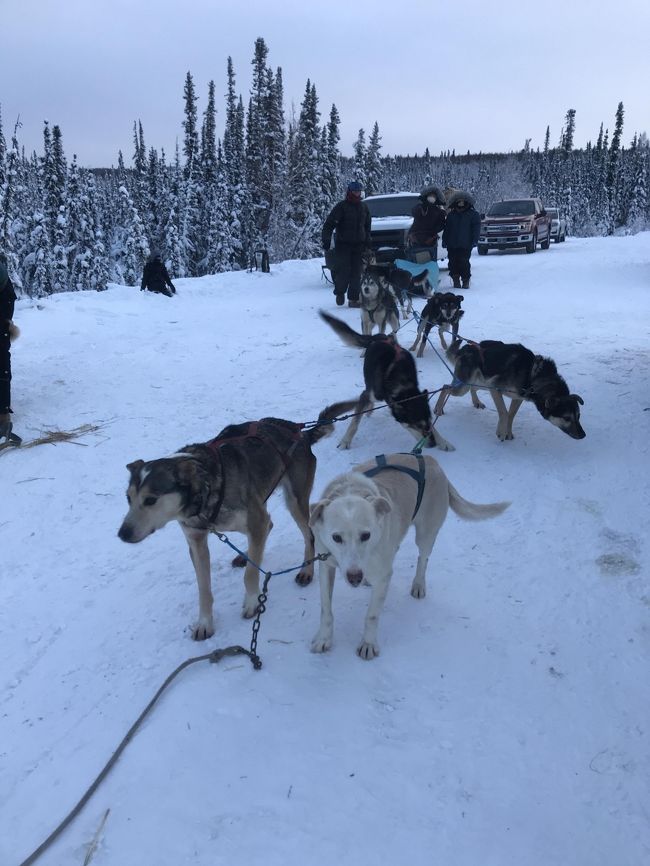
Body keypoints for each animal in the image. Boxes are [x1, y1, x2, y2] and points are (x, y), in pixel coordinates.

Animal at [306, 448, 508, 660]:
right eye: (336, 537)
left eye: (366, 535)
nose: (355, 577)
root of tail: (430, 460)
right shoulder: (326, 565)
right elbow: (326, 610)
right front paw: (324, 638)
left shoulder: (382, 576)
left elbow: (372, 615)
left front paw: (368, 643)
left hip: (426, 534)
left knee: (423, 558)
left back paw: (418, 584)